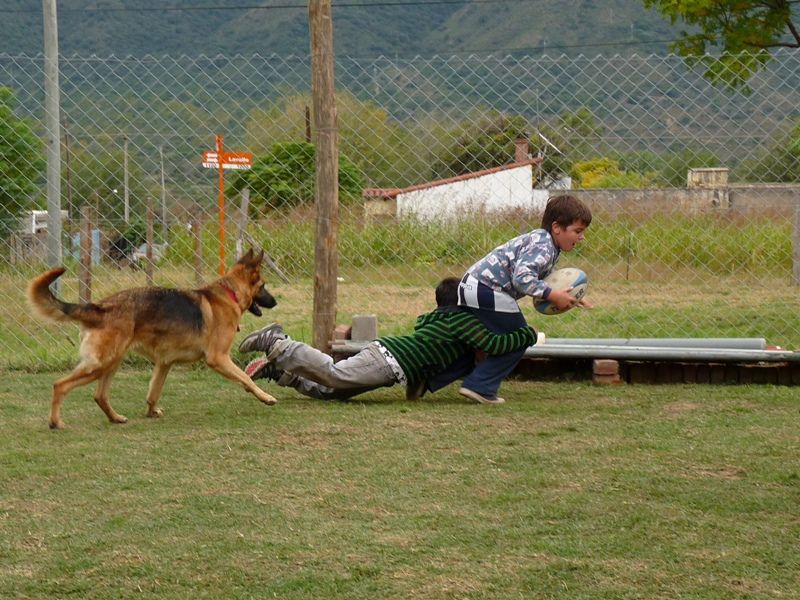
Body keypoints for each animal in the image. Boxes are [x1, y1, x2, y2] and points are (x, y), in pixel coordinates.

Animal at [26, 250, 278, 432]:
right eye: (264, 285)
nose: (275, 302)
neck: (229, 293)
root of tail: (100, 307)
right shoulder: (218, 358)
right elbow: (246, 378)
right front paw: (265, 397)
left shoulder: (164, 363)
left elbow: (154, 391)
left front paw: (151, 412)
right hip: (100, 364)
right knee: (60, 385)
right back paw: (56, 422)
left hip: (112, 363)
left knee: (99, 395)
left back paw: (115, 418)